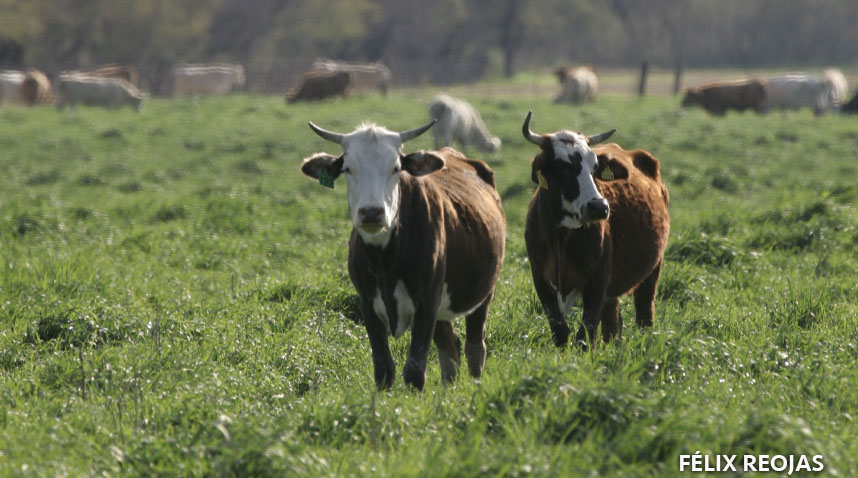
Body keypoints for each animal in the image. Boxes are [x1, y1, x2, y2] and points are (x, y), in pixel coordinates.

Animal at [300, 119, 502, 392]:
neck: (384, 259)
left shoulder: (426, 303)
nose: (371, 212)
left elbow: (415, 370)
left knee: (474, 347)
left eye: (395, 168)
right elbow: (383, 369)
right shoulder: (368, 305)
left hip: (483, 295)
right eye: (348, 169)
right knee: (450, 349)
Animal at [520, 114, 668, 350]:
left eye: (595, 166)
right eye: (562, 167)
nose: (598, 207)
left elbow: (585, 334)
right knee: (612, 324)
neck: (562, 237)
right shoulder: (540, 279)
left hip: (653, 270)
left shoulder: (597, 281)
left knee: (644, 314)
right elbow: (560, 331)